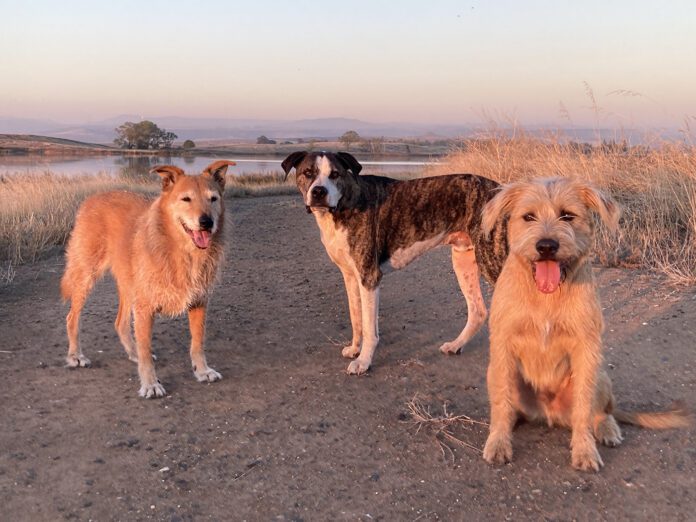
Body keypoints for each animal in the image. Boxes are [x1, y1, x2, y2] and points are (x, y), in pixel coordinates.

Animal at [60, 160, 234, 396]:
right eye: (186, 199)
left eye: (213, 198)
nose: (206, 222)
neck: (181, 251)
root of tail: (93, 197)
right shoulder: (145, 308)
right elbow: (146, 349)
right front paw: (150, 384)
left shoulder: (199, 302)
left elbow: (198, 342)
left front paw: (202, 370)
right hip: (86, 275)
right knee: (72, 317)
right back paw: (75, 356)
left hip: (129, 284)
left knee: (120, 322)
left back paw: (132, 352)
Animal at [482, 177, 688, 470]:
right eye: (528, 217)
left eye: (568, 215)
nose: (546, 246)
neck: (545, 296)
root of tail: (548, 412)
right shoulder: (502, 346)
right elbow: (501, 401)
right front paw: (499, 441)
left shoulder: (586, 348)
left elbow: (583, 408)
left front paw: (584, 450)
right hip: (495, 373)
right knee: (510, 405)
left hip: (600, 375)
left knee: (602, 412)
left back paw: (607, 430)